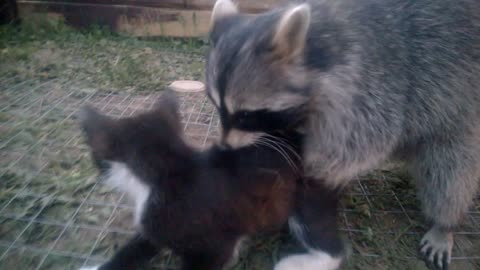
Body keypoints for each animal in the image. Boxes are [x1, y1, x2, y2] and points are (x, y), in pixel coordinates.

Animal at [78, 93, 334, 270]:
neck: (169, 173)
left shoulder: (216, 245)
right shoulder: (154, 224)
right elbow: (135, 248)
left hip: (306, 193)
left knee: (328, 242)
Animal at [206, 0, 480, 270]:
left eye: (244, 115)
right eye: (216, 106)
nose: (225, 146)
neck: (313, 48)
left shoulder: (370, 84)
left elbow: (353, 148)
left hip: (457, 106)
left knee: (449, 169)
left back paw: (444, 223)